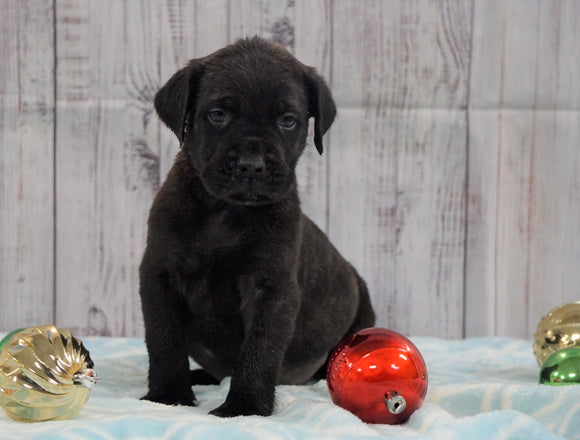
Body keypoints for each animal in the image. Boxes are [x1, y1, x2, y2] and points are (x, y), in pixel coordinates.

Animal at [140, 37, 376, 416]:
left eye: (288, 120)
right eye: (218, 115)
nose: (251, 165)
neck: (225, 210)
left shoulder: (271, 287)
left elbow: (260, 350)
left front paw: (244, 406)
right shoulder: (161, 274)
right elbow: (164, 340)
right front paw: (168, 395)